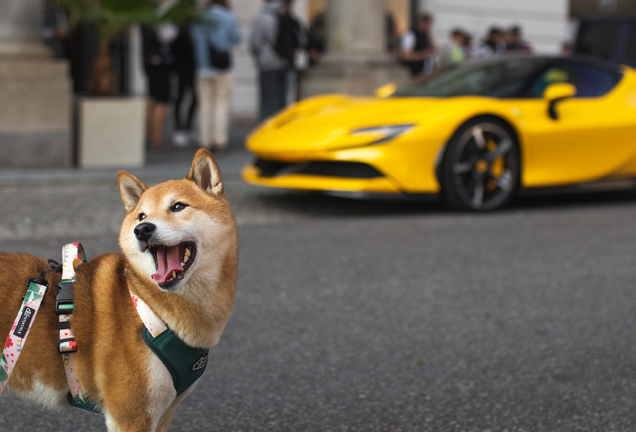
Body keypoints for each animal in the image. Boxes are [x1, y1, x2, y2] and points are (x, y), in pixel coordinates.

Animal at [0, 149, 237, 432]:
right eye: (141, 216)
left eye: (178, 206)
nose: (142, 230)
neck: (149, 306)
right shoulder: (130, 418)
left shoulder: (163, 413)